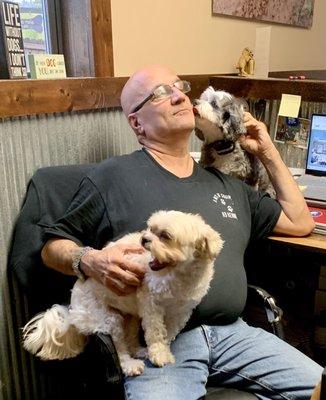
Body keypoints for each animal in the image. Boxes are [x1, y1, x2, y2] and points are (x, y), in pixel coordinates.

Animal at [22, 211, 222, 376]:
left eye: (165, 236)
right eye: (150, 229)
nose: (144, 238)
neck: (179, 275)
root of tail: (73, 312)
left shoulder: (181, 312)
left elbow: (169, 333)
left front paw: (163, 350)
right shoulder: (152, 305)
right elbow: (156, 333)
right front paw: (159, 354)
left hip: (130, 317)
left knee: (130, 338)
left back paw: (139, 351)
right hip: (108, 319)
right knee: (119, 348)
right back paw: (130, 365)